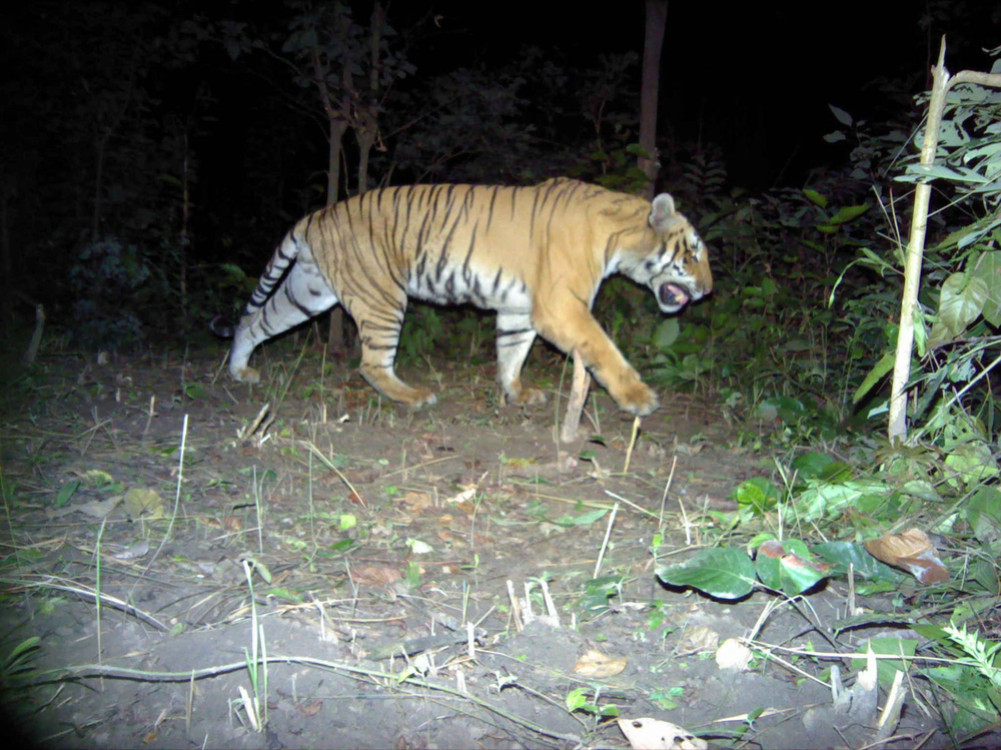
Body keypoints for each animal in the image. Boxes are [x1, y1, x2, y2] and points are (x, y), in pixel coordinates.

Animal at [227, 177, 712, 416]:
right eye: (693, 253)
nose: (709, 290)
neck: (619, 237)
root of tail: (318, 215)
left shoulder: (520, 307)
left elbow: (512, 352)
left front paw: (516, 393)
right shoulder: (561, 306)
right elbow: (603, 349)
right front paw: (638, 398)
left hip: (309, 290)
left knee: (253, 322)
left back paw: (239, 370)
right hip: (383, 297)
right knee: (370, 364)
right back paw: (413, 396)